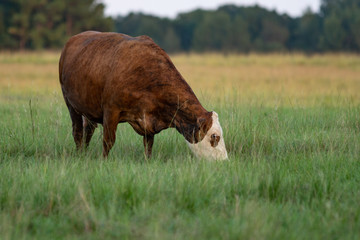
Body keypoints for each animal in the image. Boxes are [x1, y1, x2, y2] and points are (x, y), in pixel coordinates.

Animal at [59, 31, 228, 160]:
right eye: (214, 137)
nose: (224, 161)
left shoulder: (149, 123)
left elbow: (148, 146)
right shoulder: (111, 111)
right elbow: (108, 141)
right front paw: (104, 161)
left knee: (88, 129)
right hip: (70, 104)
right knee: (77, 132)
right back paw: (79, 154)